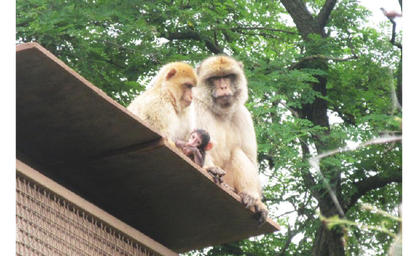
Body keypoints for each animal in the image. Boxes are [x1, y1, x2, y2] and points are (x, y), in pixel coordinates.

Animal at [194, 55, 270, 222]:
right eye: (215, 78)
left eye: (228, 76)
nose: (223, 87)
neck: (220, 111)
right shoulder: (196, 108)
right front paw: (210, 168)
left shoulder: (243, 115)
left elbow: (250, 158)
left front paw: (258, 202)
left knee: (238, 152)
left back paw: (249, 194)